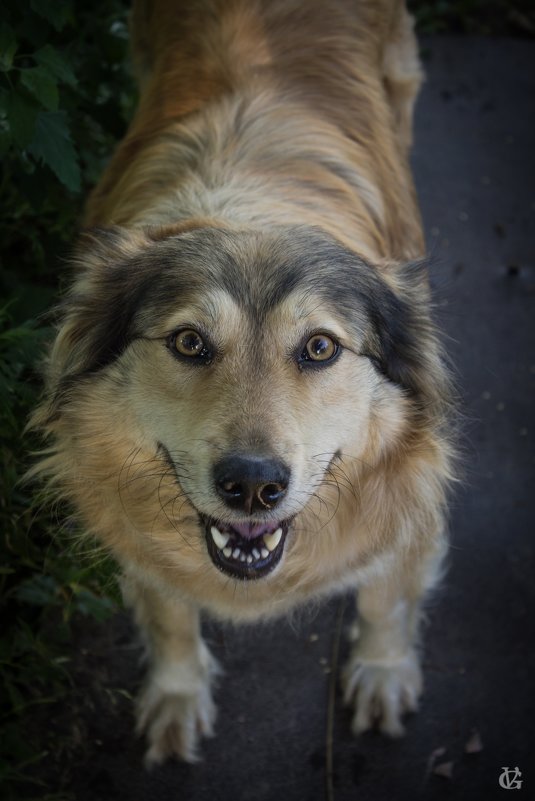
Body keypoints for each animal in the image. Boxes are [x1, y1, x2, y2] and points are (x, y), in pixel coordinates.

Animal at [31, 0, 454, 764]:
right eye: (188, 342)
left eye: (319, 347)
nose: (253, 485)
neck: (252, 208)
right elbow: (169, 613)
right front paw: (176, 694)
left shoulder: (412, 494)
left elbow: (385, 596)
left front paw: (382, 673)